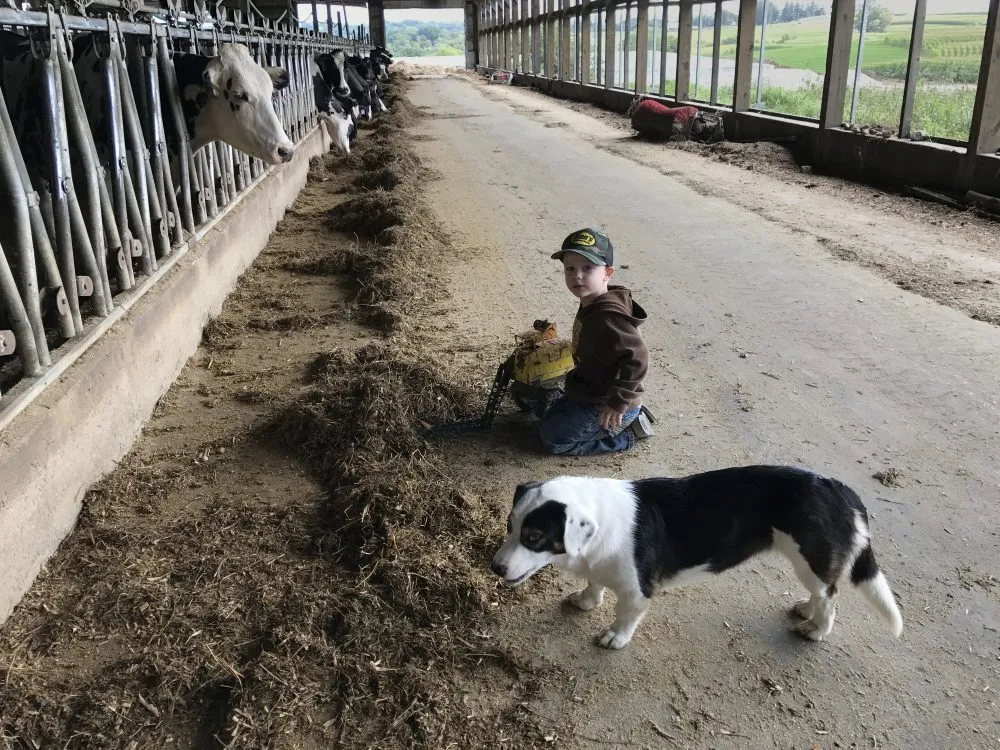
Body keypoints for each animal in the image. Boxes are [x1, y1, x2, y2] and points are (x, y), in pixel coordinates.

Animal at [488, 470, 904, 652]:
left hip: (810, 559)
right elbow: (593, 583)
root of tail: (841, 489)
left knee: (830, 594)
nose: (495, 568)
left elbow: (625, 617)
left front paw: (614, 637)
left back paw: (817, 629)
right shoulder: (599, 568)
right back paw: (805, 609)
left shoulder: (638, 592)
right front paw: (587, 600)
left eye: (534, 537)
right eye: (510, 526)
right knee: (821, 594)